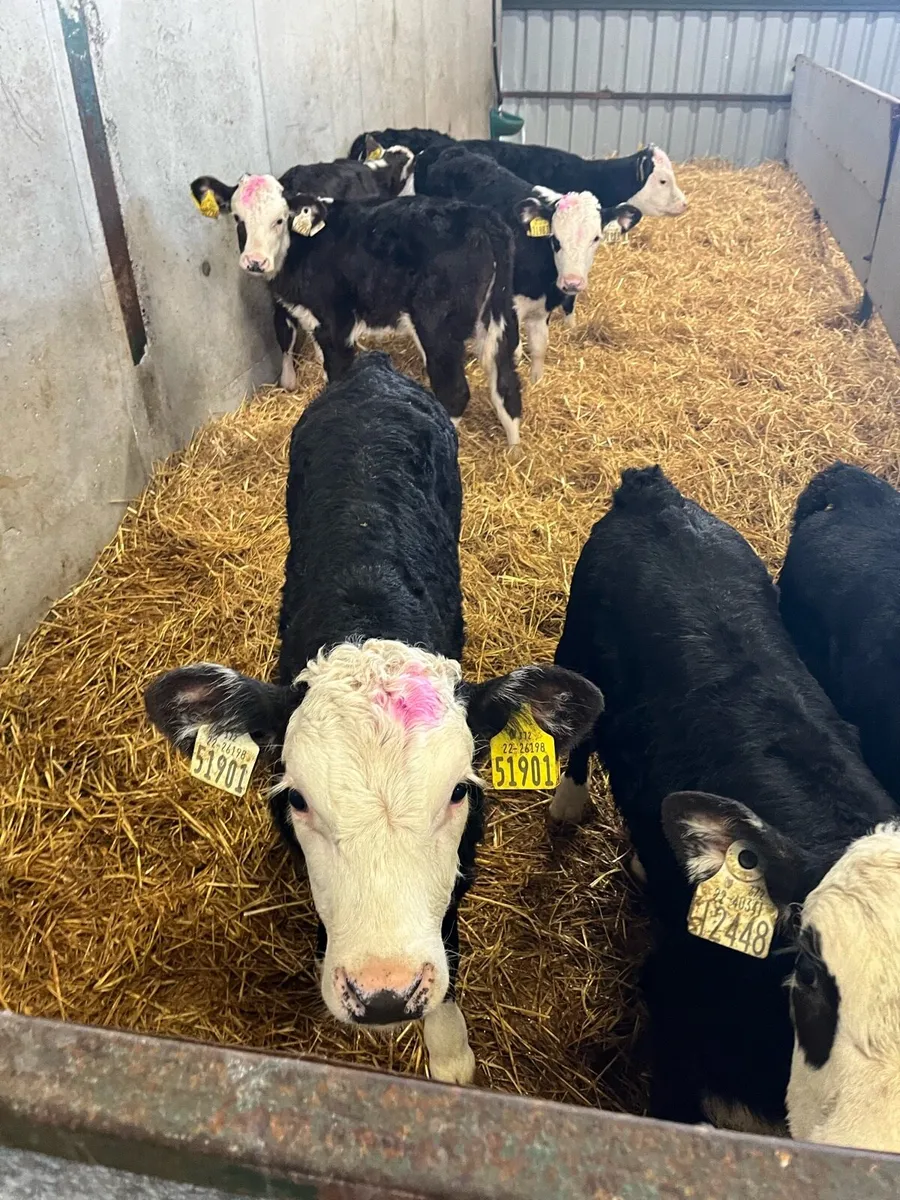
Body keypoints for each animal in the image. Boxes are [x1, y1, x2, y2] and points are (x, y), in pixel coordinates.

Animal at [190, 152, 414, 388]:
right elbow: (284, 334)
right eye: (237, 218)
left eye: (280, 220)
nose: (255, 261)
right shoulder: (279, 295)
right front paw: (290, 377)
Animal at [414, 143, 641, 381]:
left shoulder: (542, 310)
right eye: (555, 239)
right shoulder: (511, 306)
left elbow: (539, 348)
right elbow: (514, 351)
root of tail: (448, 148)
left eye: (596, 238)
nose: (572, 283)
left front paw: (536, 382)